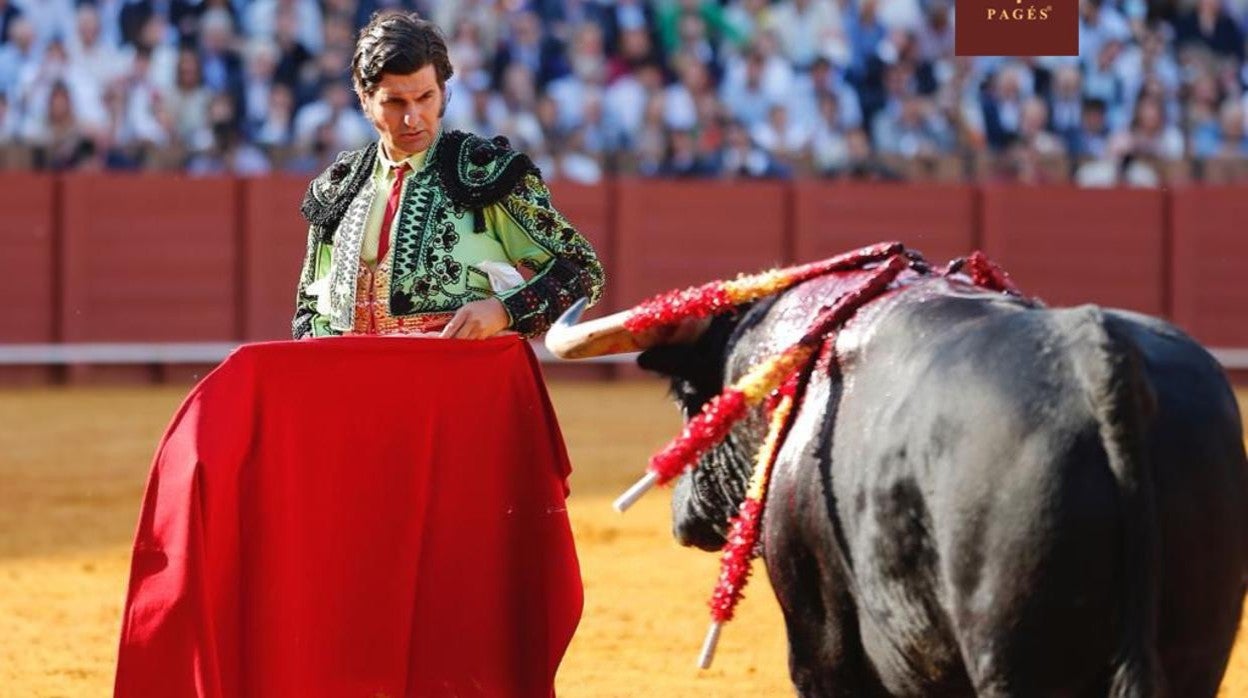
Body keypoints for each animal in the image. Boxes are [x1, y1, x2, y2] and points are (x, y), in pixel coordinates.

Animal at [551, 252, 1248, 698]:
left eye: (687, 396)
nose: (682, 515)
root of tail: (1100, 356)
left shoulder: (821, 648)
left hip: (1014, 658)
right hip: (1196, 650)